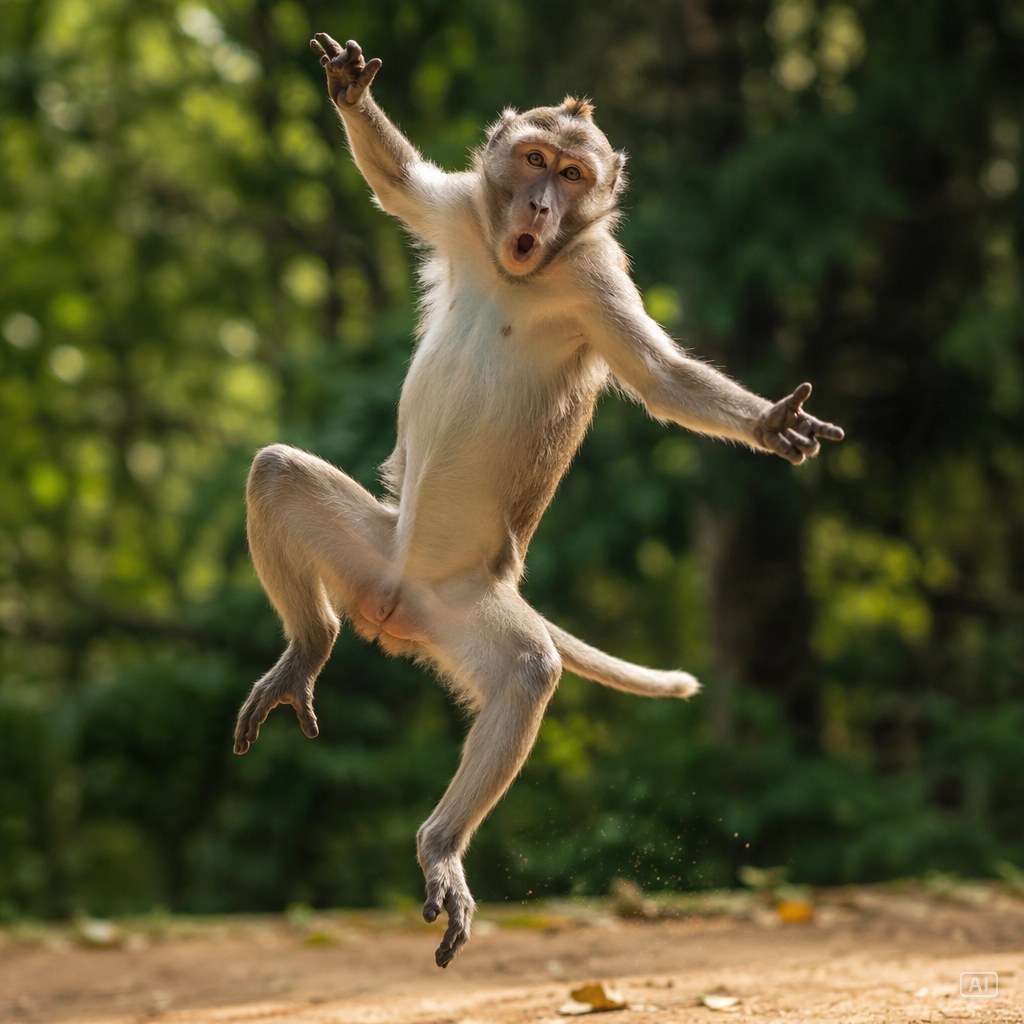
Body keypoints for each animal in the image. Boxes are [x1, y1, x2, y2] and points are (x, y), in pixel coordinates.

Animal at [233, 34, 844, 969]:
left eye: (574, 173)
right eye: (531, 160)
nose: (542, 204)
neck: (526, 268)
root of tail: (394, 607)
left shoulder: (597, 275)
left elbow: (663, 381)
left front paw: (771, 423)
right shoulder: (465, 216)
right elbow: (401, 186)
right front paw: (349, 91)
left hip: (462, 604)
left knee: (527, 669)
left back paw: (440, 845)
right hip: (377, 555)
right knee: (273, 473)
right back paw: (308, 648)